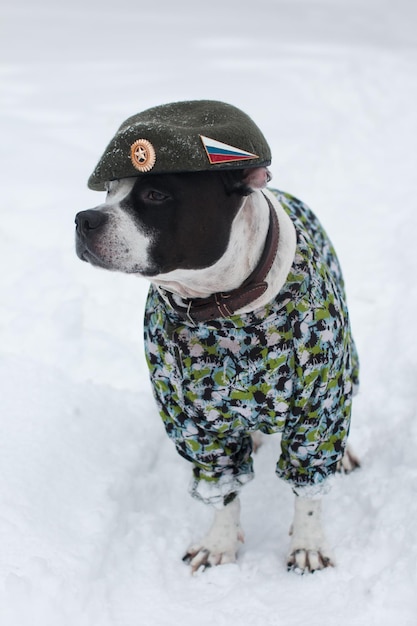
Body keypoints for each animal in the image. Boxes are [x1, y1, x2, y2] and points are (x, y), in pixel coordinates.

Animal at [76, 100, 360, 572]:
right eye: (109, 190)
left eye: (155, 195)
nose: (83, 219)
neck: (222, 309)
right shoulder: (194, 424)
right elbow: (222, 490)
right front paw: (219, 543)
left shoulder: (317, 406)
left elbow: (308, 488)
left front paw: (308, 544)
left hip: (344, 369)